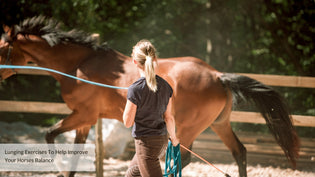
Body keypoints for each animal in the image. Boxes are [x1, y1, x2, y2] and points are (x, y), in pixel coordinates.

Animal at [0, 16, 302, 176]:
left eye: (3, 47)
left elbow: (49, 135)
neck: (79, 64)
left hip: (187, 128)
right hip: (219, 124)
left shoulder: (82, 115)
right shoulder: (86, 120)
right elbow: (73, 153)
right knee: (239, 152)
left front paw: (57, 165)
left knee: (182, 158)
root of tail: (217, 76)